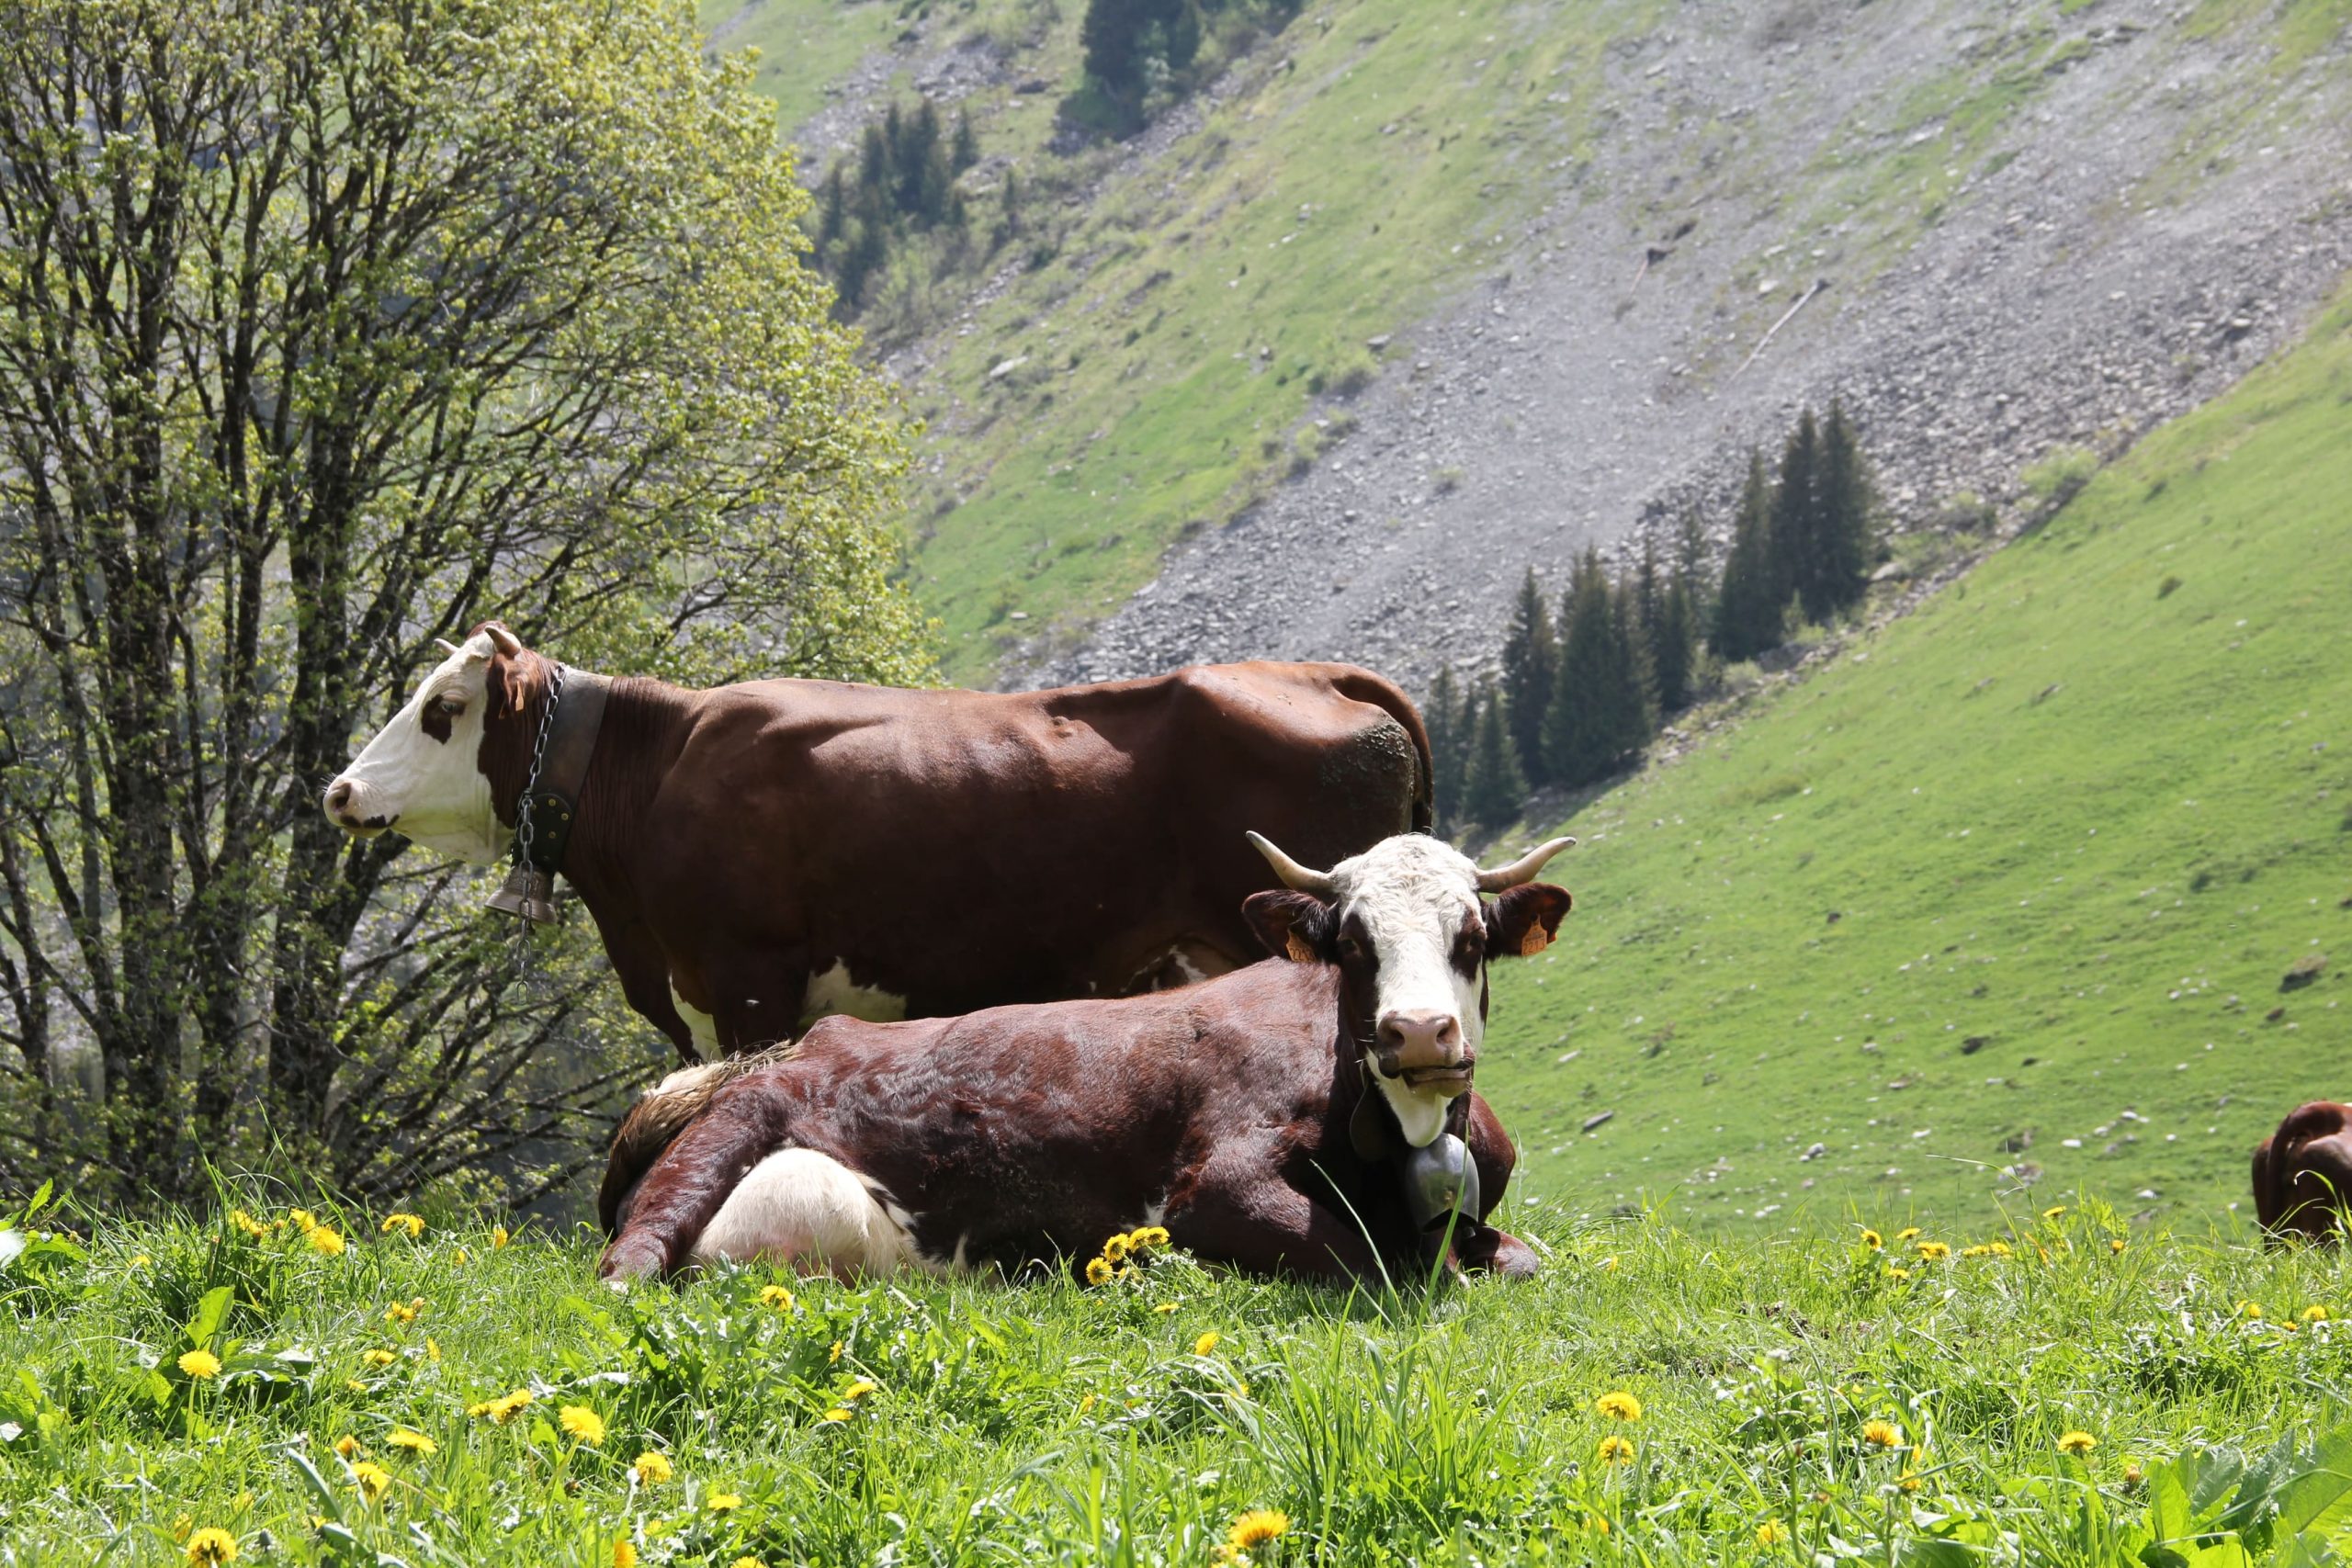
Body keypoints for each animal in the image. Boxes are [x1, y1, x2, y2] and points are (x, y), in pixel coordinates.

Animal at [595, 831, 1573, 1287]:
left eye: (1471, 937)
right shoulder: (1215, 1185)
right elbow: (1367, 1257)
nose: (1420, 1031)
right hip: (728, 1131)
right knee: (629, 1261)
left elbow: (1516, 1259)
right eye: (1356, 944)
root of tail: (812, 1039)